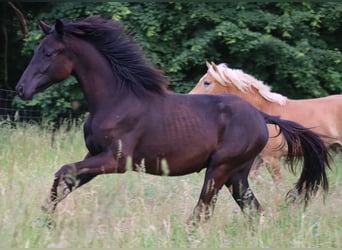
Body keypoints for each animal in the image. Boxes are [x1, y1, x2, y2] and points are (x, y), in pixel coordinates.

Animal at [191, 62, 340, 184]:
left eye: (207, 82)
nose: (190, 97)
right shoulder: (260, 158)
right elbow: (254, 177)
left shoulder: (272, 159)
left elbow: (278, 184)